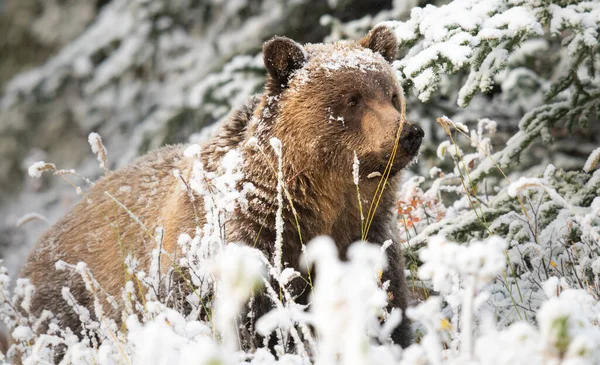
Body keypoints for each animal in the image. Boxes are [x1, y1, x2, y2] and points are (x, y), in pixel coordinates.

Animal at [22, 24, 422, 348]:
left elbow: (385, 301)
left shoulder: (366, 235)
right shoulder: (238, 245)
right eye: (352, 100)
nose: (409, 132)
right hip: (68, 304)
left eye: (391, 94)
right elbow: (241, 320)